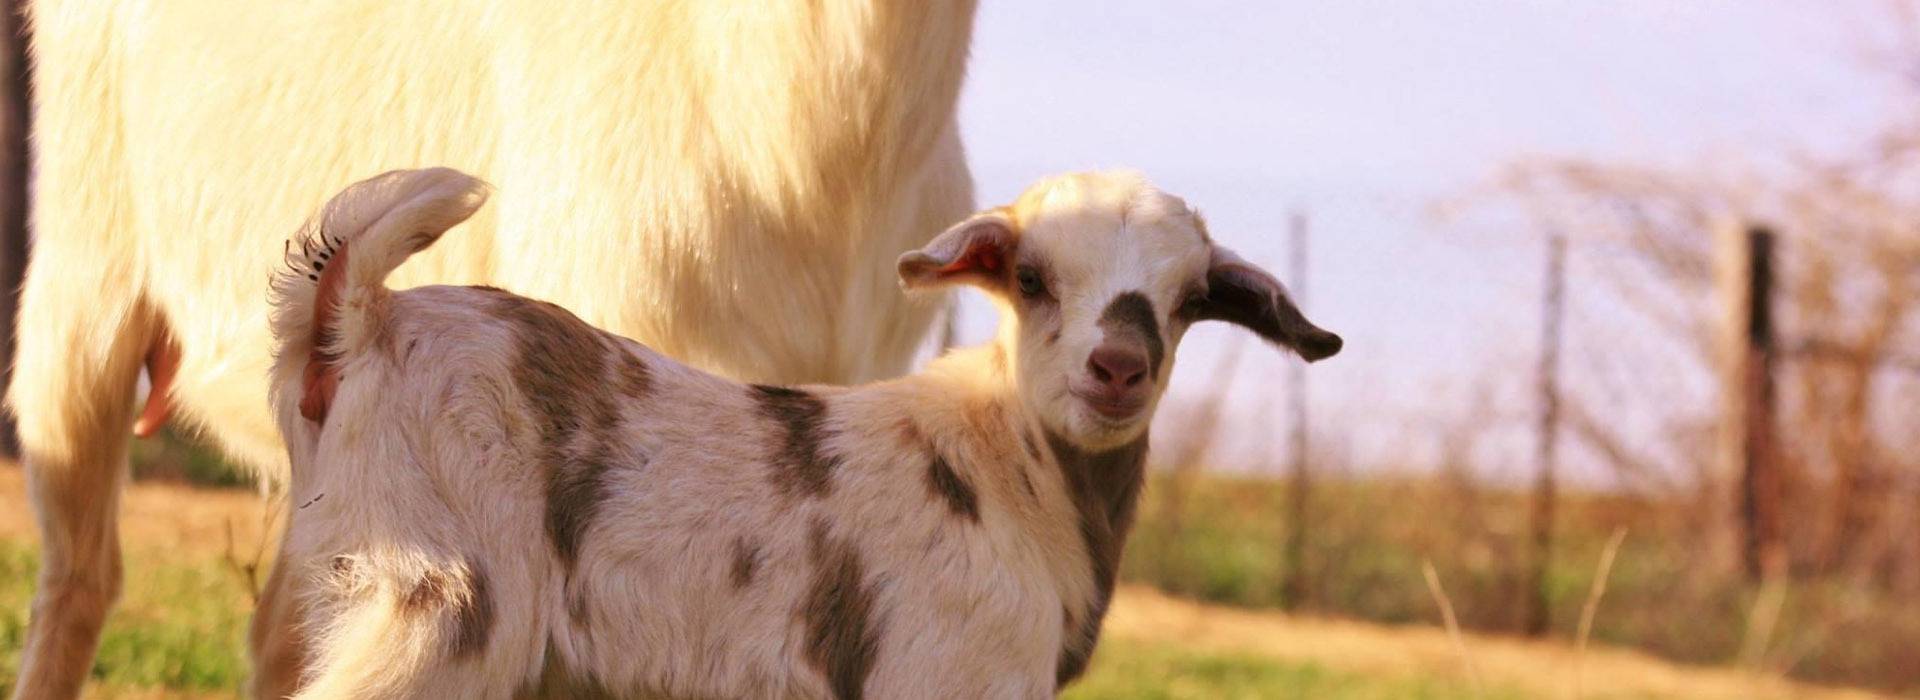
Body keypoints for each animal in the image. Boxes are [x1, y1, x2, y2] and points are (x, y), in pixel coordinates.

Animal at [268, 168, 1340, 699]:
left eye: (1191, 299)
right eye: (1032, 278)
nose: (1117, 368)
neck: (1011, 467)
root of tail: (361, 322)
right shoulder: (950, 674)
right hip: (442, 613)